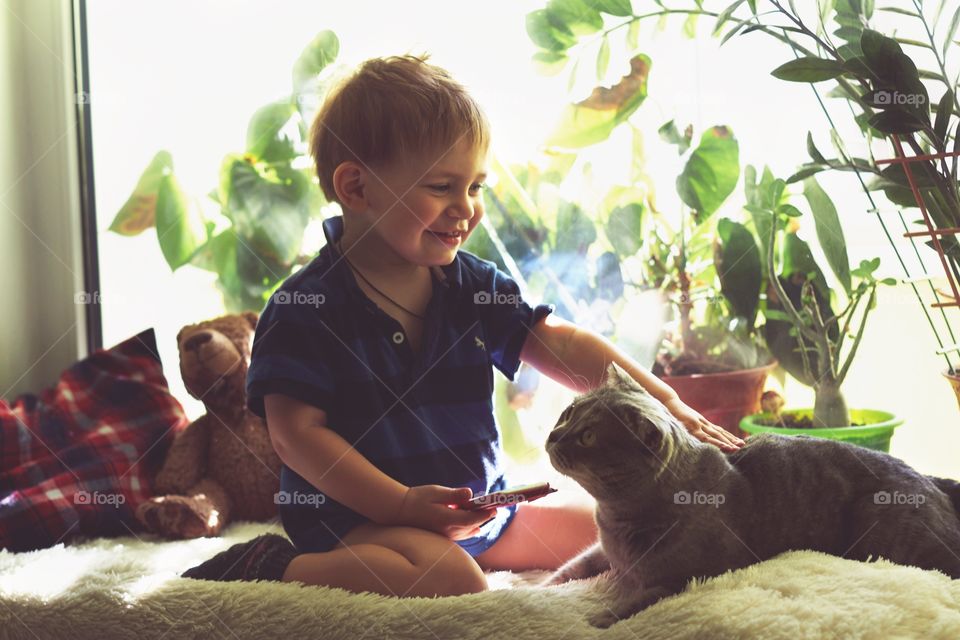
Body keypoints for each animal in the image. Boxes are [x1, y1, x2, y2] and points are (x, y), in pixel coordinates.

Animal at [544, 362, 960, 628]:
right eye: (568, 413)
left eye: (588, 437)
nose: (553, 435)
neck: (614, 517)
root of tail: (933, 479)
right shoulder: (601, 550)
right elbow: (574, 564)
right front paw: (542, 586)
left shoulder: (683, 578)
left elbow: (638, 600)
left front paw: (598, 617)